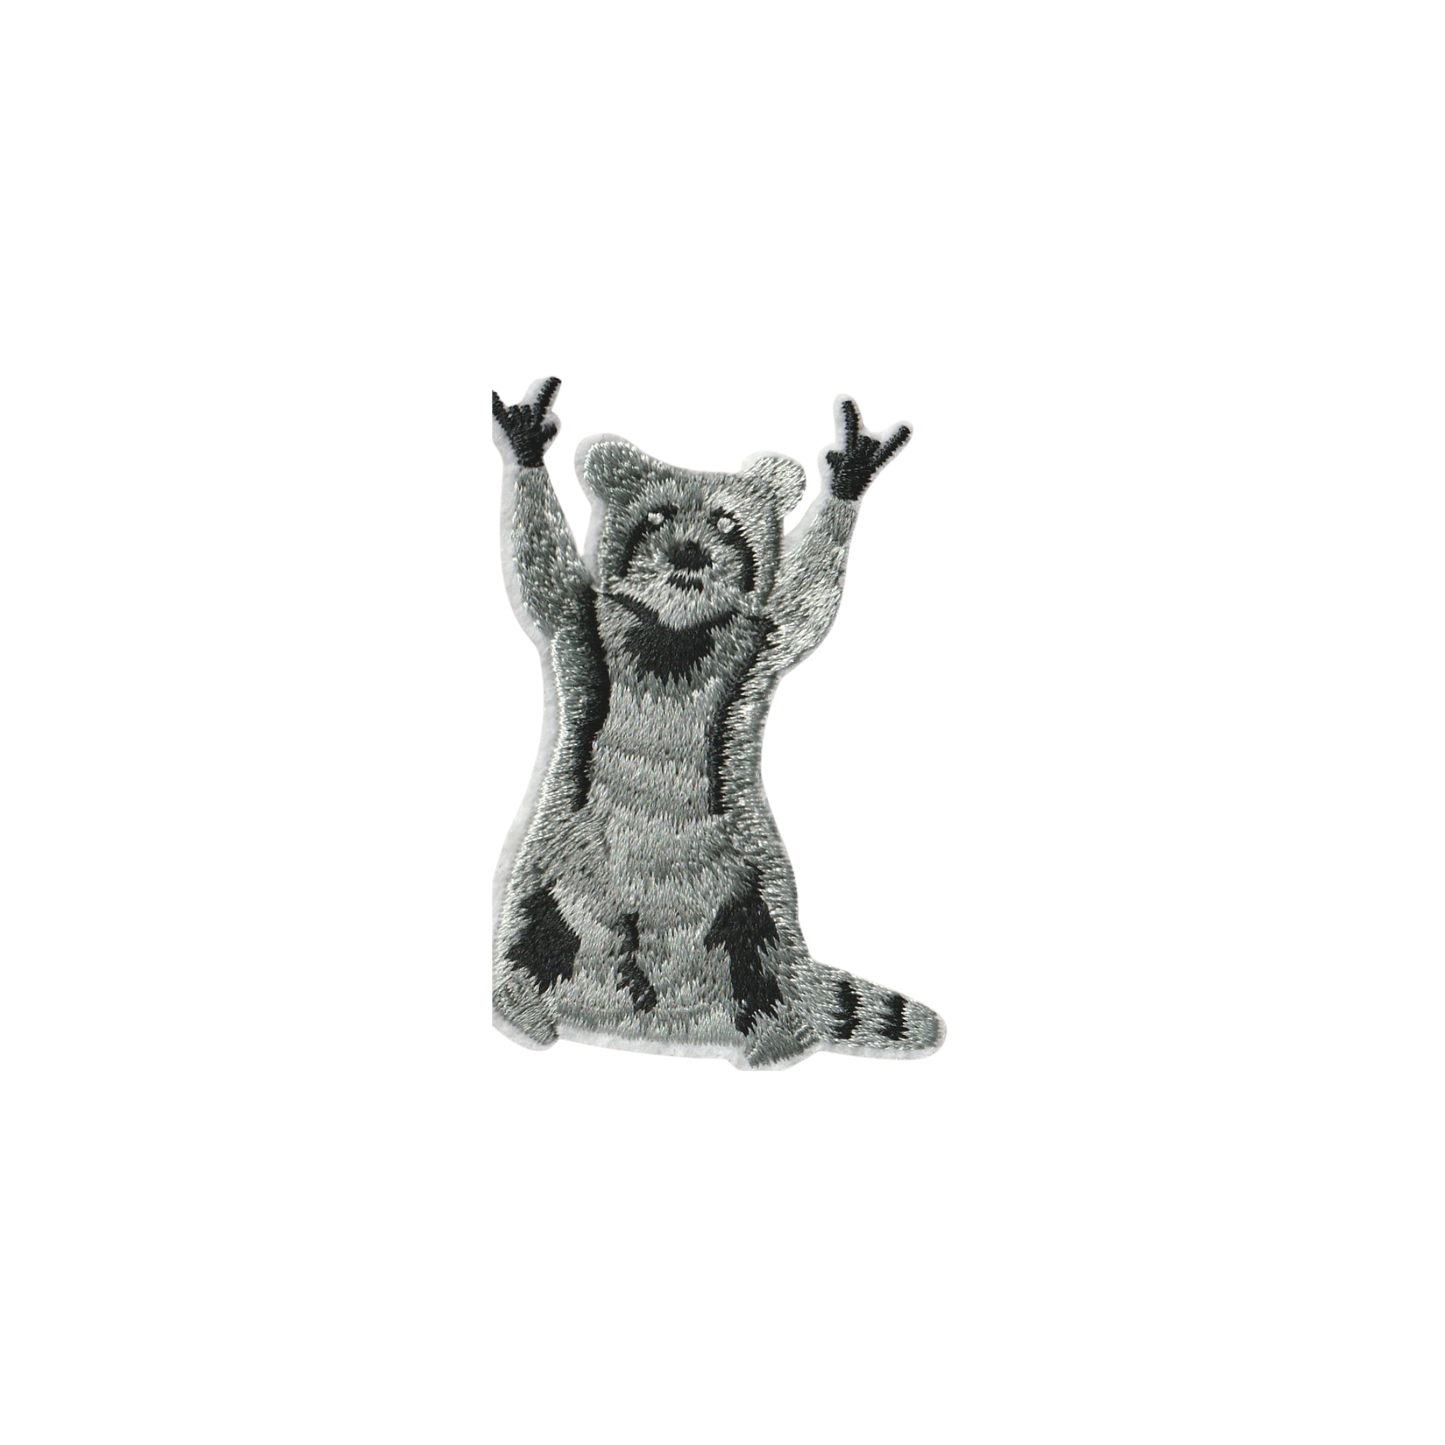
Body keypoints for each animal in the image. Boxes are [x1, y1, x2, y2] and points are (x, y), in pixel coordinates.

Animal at [488, 373, 949, 1073]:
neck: (674, 627)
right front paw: (527, 452)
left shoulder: (761, 644)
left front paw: (845, 483)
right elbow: (543, 571)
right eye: (656, 517)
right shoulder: (581, 625)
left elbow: (809, 604)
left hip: (748, 891)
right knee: (531, 939)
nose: (688, 551)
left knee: (757, 963)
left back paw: (772, 1041)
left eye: (726, 523)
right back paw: (525, 1012)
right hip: (558, 866)